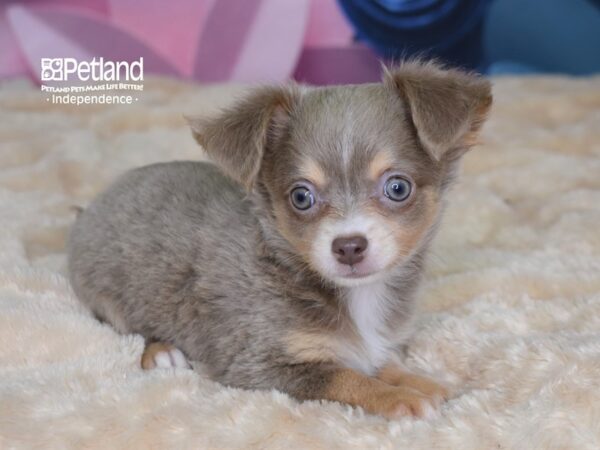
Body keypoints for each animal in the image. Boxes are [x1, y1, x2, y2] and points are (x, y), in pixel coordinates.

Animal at [69, 59, 492, 418]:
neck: (357, 298)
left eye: (398, 188)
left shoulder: (375, 344)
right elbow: (346, 376)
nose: (349, 246)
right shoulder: (260, 365)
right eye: (301, 197)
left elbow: (381, 361)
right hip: (108, 296)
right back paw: (161, 352)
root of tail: (90, 208)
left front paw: (422, 382)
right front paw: (400, 399)